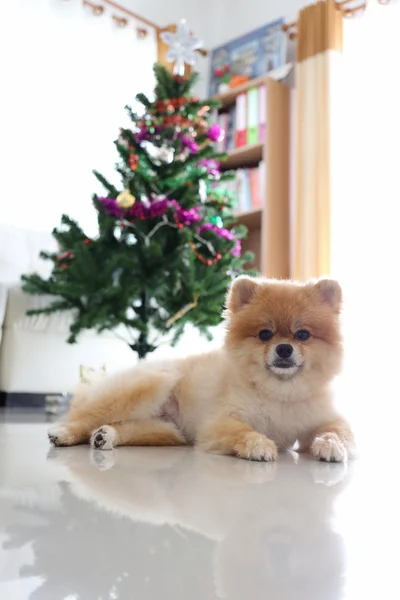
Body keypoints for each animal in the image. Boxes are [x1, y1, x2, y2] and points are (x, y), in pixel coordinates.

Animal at [47, 274, 356, 462]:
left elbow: (337, 430)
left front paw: (331, 445)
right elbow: (243, 431)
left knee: (126, 427)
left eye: (302, 335)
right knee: (85, 417)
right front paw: (259, 445)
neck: (280, 393)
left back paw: (106, 436)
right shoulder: (219, 422)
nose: (283, 349)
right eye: (264, 334)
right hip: (150, 385)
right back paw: (63, 433)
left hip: (169, 430)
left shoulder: (321, 418)